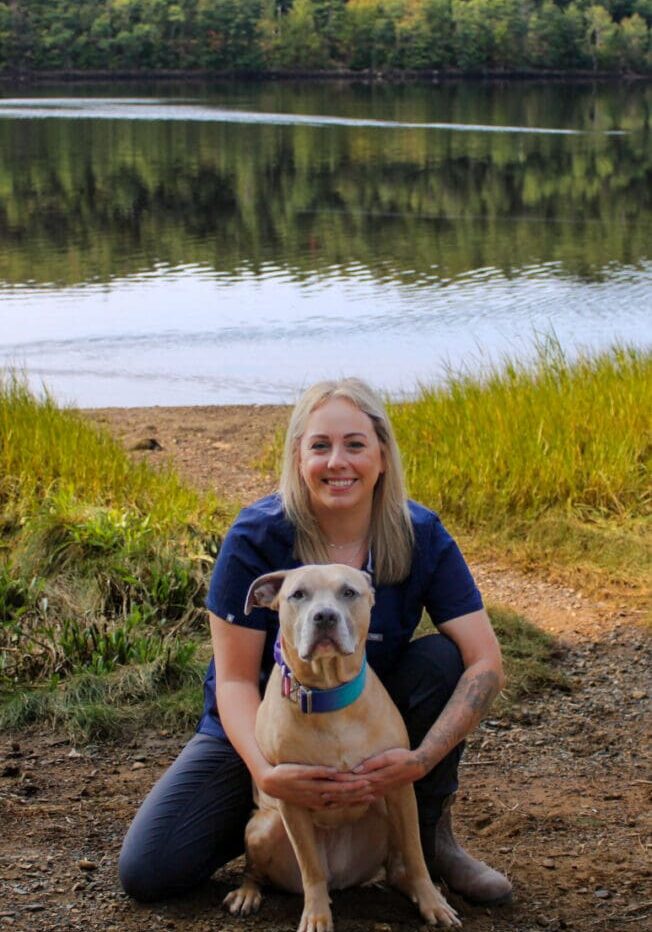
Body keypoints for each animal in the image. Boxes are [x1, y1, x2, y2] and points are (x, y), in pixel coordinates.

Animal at [224, 564, 458, 928]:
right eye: (298, 594)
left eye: (348, 592)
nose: (324, 616)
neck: (328, 696)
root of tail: (342, 876)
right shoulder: (291, 796)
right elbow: (311, 869)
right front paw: (316, 916)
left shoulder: (399, 786)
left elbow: (416, 852)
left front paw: (432, 901)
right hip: (263, 826)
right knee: (258, 869)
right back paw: (248, 892)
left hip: (385, 813)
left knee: (398, 864)